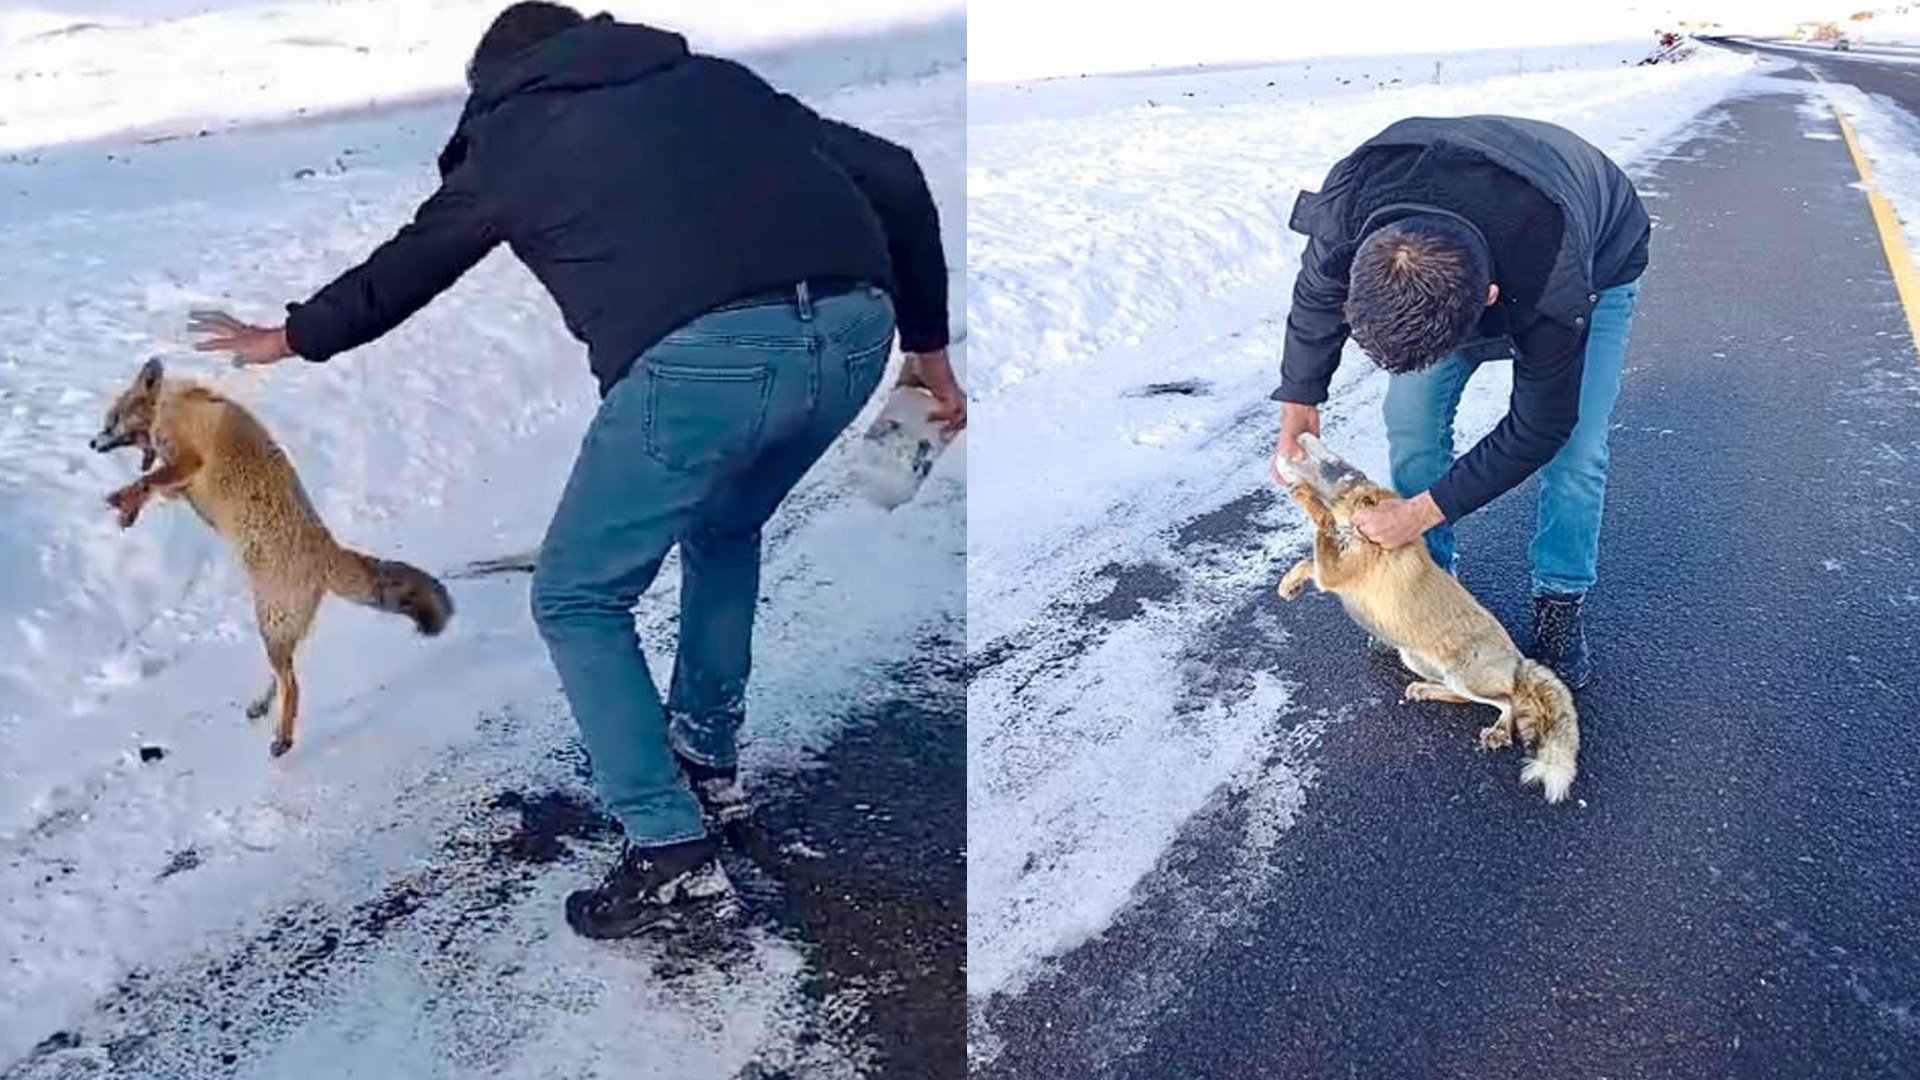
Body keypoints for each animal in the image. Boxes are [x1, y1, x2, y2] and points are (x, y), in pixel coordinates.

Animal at [92, 357, 453, 753]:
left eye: (111, 420)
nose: (92, 442)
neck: (169, 407)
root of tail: (327, 549)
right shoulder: (180, 482)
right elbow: (149, 486)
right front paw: (128, 510)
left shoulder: (189, 459)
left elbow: (147, 482)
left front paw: (122, 499)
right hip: (277, 631)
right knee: (281, 676)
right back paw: (263, 708)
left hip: (271, 624)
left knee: (292, 685)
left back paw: (283, 736)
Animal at [1274, 430, 1574, 799]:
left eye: (1330, 462)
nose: (1300, 434)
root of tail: (1519, 660)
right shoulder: (1334, 571)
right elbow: (1307, 560)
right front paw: (1289, 585)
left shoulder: (1338, 571)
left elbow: (1320, 526)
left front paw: (1304, 498)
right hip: (1415, 659)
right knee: (1460, 696)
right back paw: (1425, 690)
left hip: (1465, 677)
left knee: (1508, 702)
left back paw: (1499, 731)